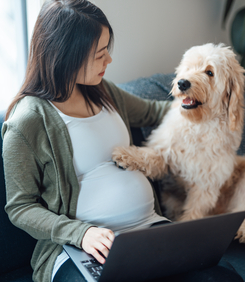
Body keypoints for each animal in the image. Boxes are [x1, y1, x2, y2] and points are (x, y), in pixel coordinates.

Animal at [113, 43, 245, 242]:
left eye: (210, 72)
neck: (198, 125)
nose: (183, 83)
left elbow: (194, 212)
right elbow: (148, 156)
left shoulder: (206, 185)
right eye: (188, 68)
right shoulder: (166, 153)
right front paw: (126, 154)